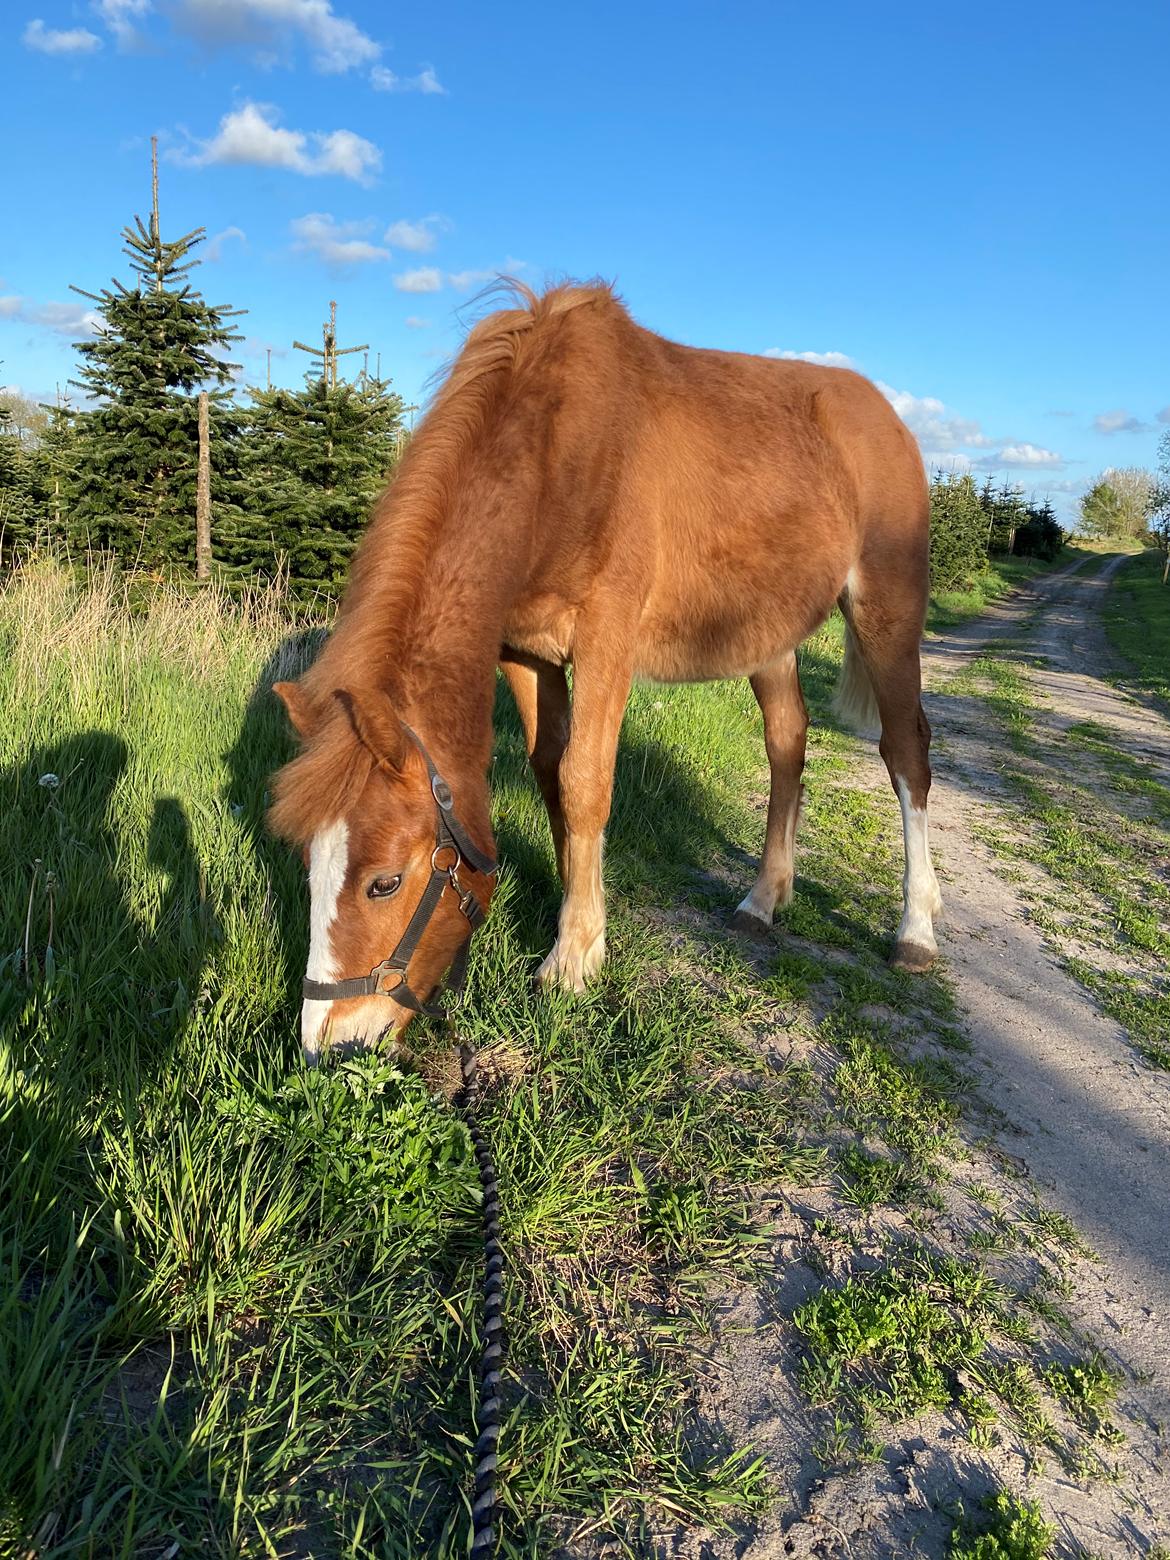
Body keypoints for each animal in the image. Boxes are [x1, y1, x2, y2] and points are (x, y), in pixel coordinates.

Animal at [268, 277, 942, 1060]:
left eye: (384, 882)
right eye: (309, 865)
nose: (328, 1043)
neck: (558, 454)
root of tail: (888, 416)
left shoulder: (606, 642)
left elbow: (585, 780)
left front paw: (573, 958)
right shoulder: (526, 652)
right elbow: (549, 773)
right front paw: (580, 917)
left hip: (888, 610)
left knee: (906, 752)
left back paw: (916, 929)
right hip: (767, 635)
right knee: (787, 742)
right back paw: (764, 897)